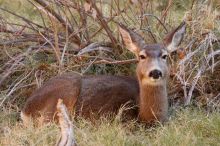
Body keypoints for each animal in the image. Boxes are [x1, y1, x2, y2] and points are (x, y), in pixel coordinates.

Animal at [21, 22, 186, 125]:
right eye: (142, 56)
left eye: (164, 56)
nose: (155, 72)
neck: (146, 116)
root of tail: (25, 110)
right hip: (65, 93)